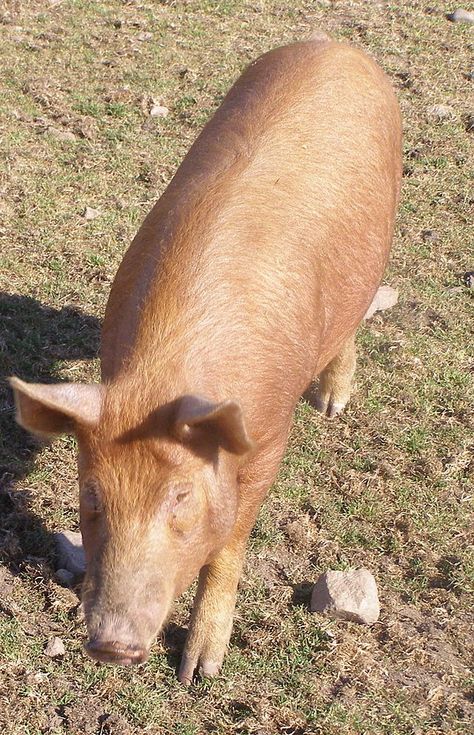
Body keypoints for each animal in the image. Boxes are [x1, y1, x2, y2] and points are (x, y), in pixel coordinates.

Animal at [9, 34, 402, 684]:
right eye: (91, 494)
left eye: (182, 496)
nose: (112, 643)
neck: (161, 380)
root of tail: (335, 44)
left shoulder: (269, 435)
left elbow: (230, 542)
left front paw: (198, 672)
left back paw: (332, 406)